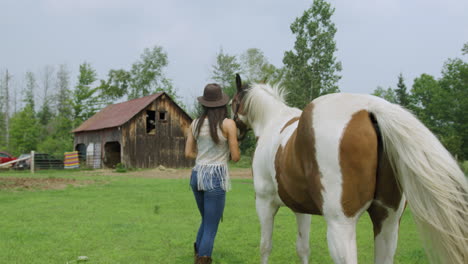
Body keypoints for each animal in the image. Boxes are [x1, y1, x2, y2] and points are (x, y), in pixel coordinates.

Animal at [232, 74, 466, 264]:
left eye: (233, 102)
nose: (235, 132)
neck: (272, 122)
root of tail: (371, 109)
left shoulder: (264, 203)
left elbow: (265, 247)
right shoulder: (301, 209)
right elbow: (303, 249)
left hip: (341, 225)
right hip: (388, 222)